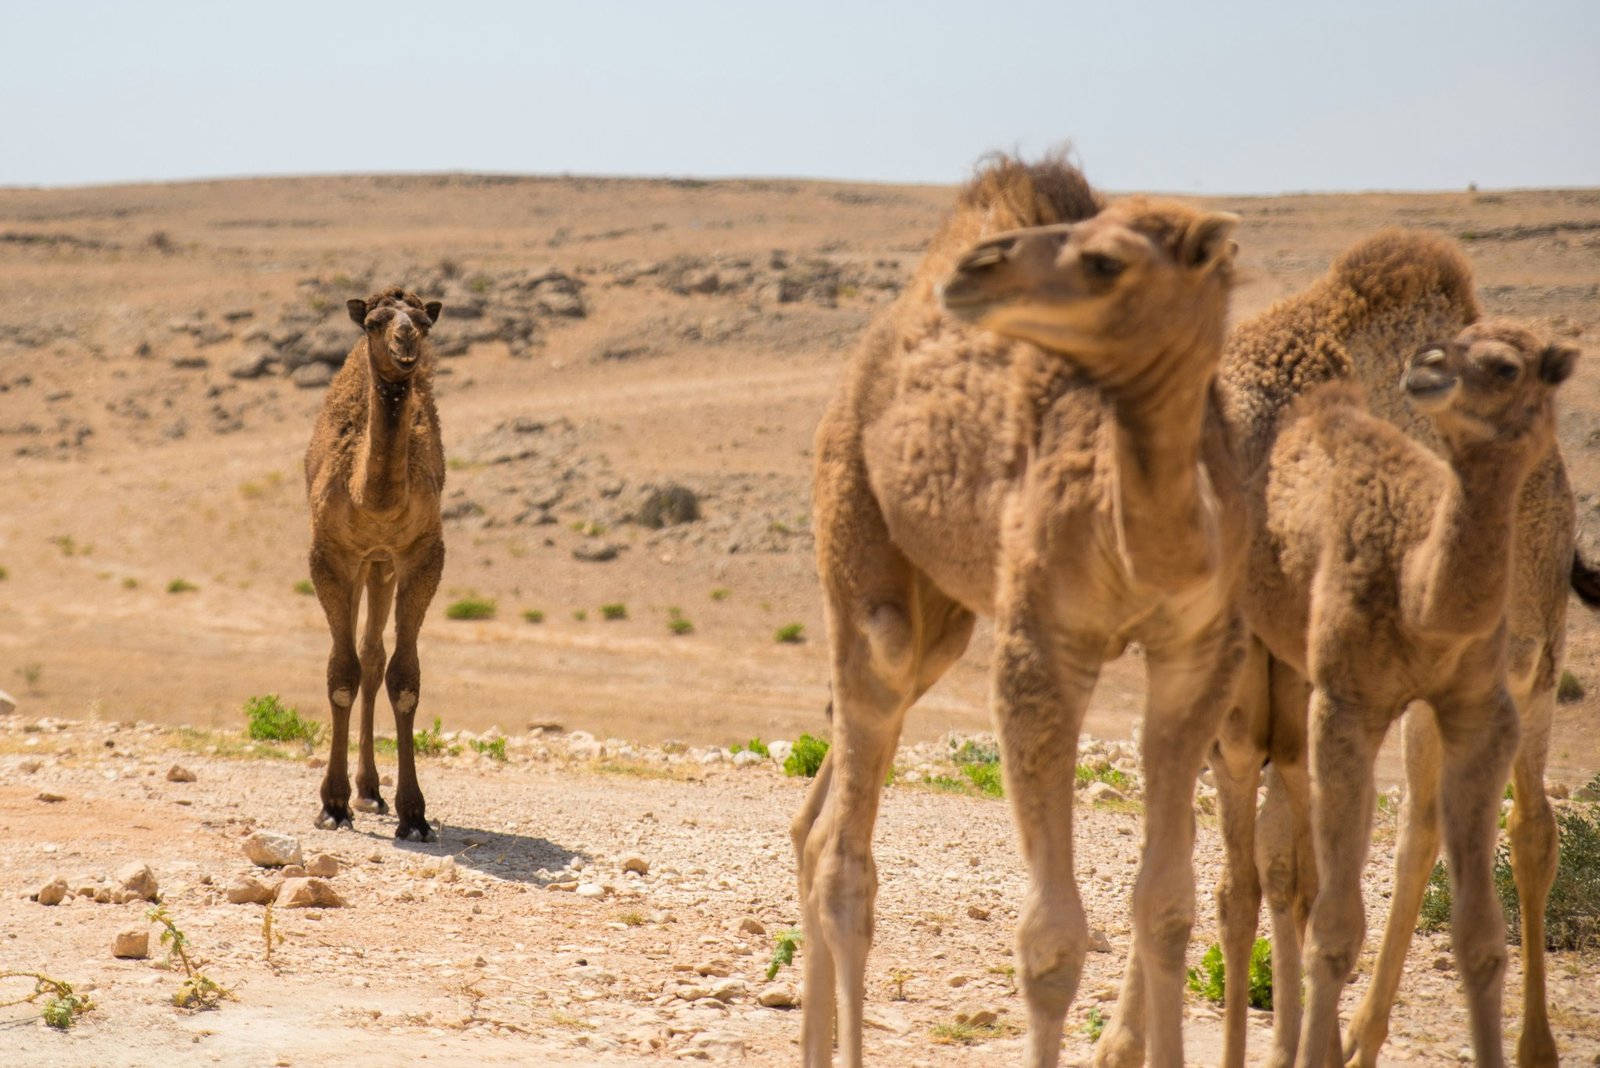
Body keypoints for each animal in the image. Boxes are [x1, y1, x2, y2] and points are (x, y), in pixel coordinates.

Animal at [304, 286, 446, 843]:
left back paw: (370, 790)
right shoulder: (329, 554)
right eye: (374, 322)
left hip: (381, 566)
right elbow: (338, 673)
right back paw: (357, 793)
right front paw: (331, 805)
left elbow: (404, 679)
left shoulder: (421, 554)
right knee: (360, 658)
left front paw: (415, 815)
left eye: (423, 323)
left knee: (373, 656)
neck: (375, 502)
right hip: (365, 564)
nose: (405, 342)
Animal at [792, 155, 1246, 1068]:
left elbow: (1166, 906)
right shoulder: (1044, 644)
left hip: (945, 616)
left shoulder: (1199, 652)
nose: (978, 269)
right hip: (855, 525)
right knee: (844, 853)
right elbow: (1052, 936)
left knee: (827, 823)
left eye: (1107, 261)